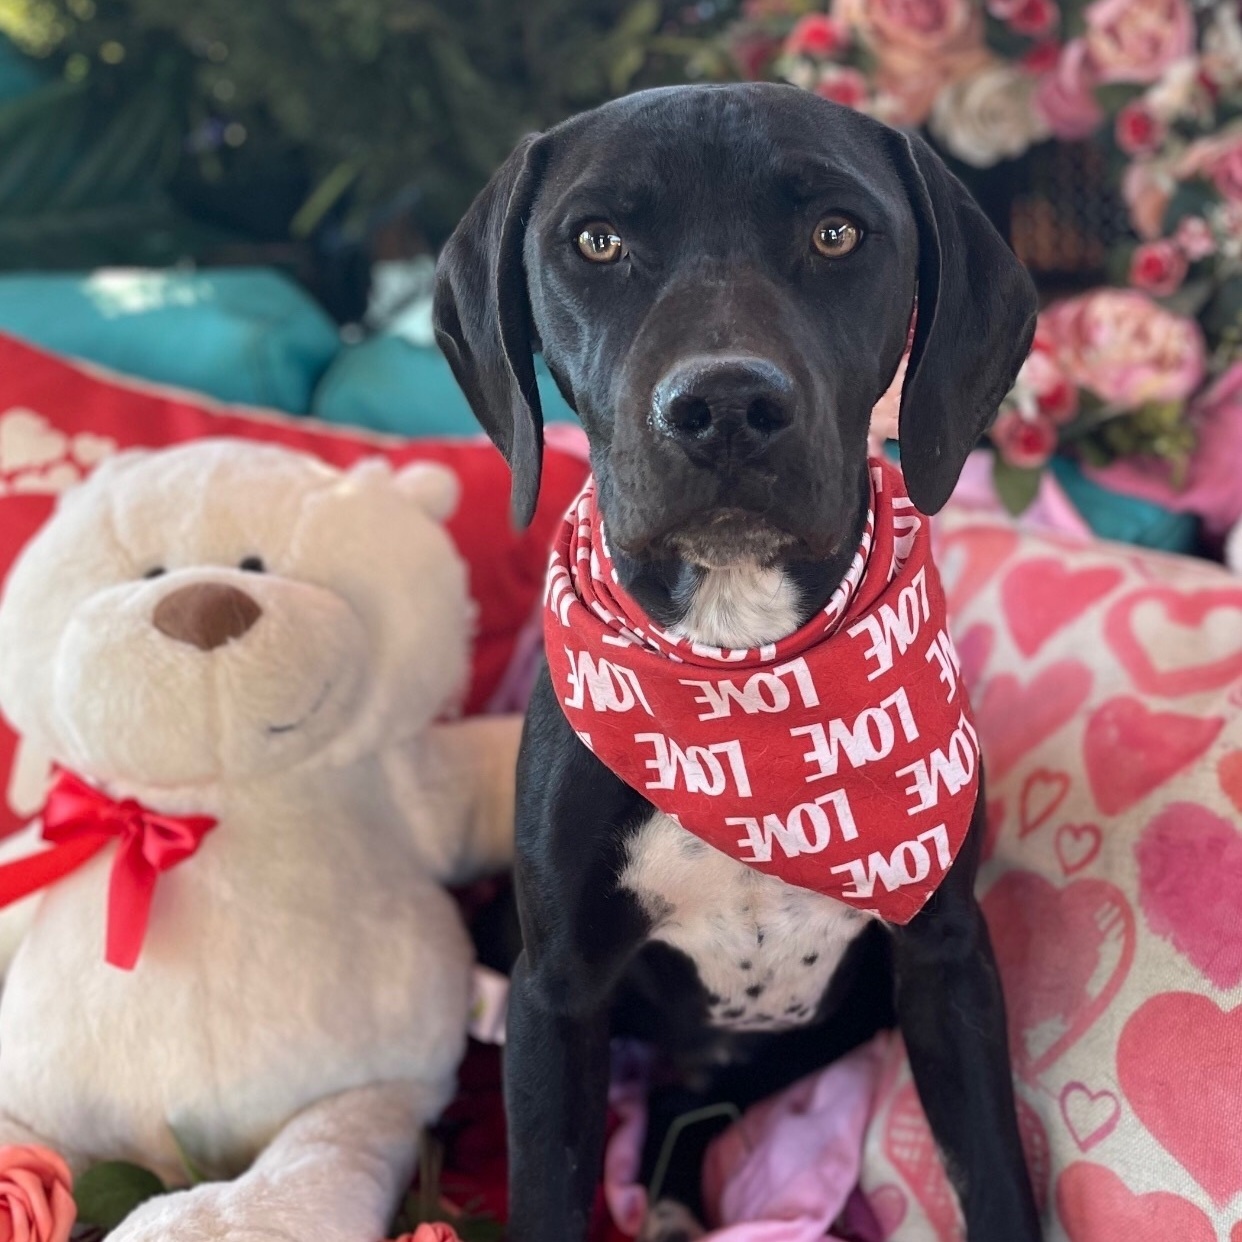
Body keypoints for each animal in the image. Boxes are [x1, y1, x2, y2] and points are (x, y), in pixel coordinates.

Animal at [432, 82, 1043, 1237]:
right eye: (597, 239)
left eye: (837, 233)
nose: (722, 408)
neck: (740, 665)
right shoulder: (555, 992)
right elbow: (546, 1186)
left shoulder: (948, 959)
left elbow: (993, 1172)